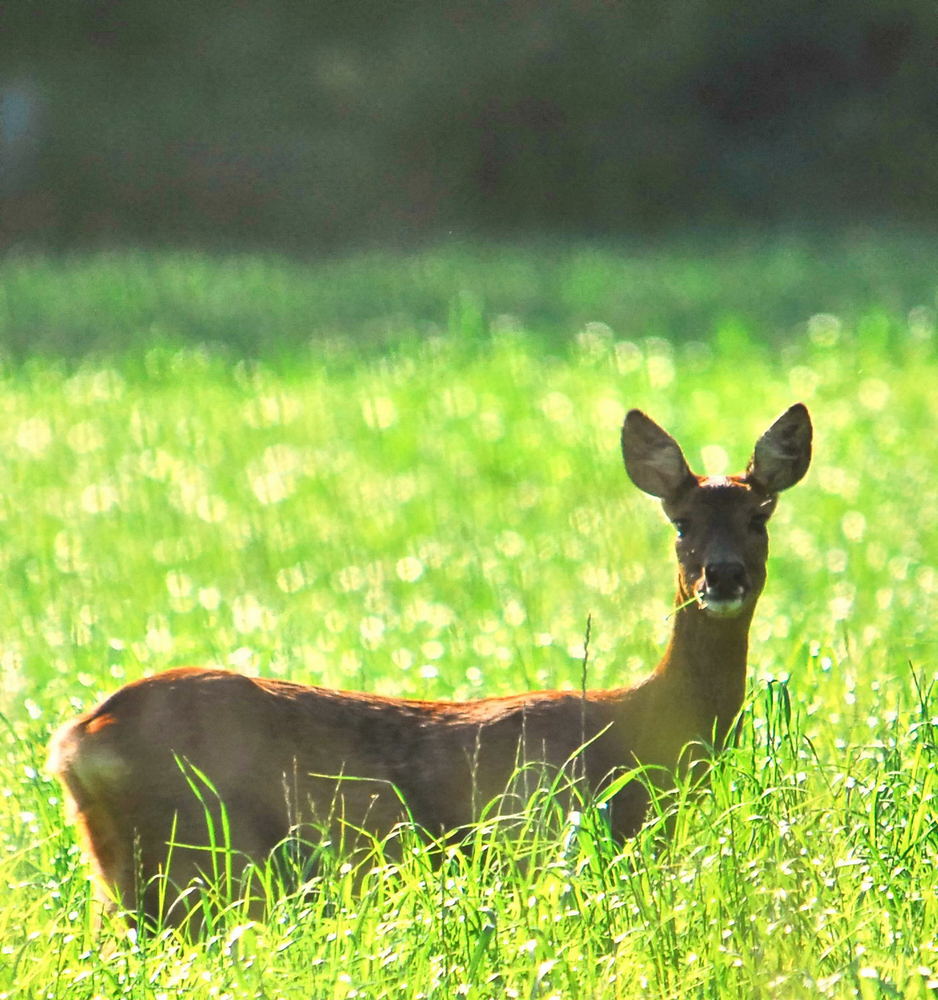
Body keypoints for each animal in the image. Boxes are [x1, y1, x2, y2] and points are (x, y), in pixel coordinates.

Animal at [49, 402, 812, 924]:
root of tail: (76, 740)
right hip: (203, 858)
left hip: (136, 875)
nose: (722, 576)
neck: (639, 730)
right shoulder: (546, 832)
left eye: (760, 516)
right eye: (680, 524)